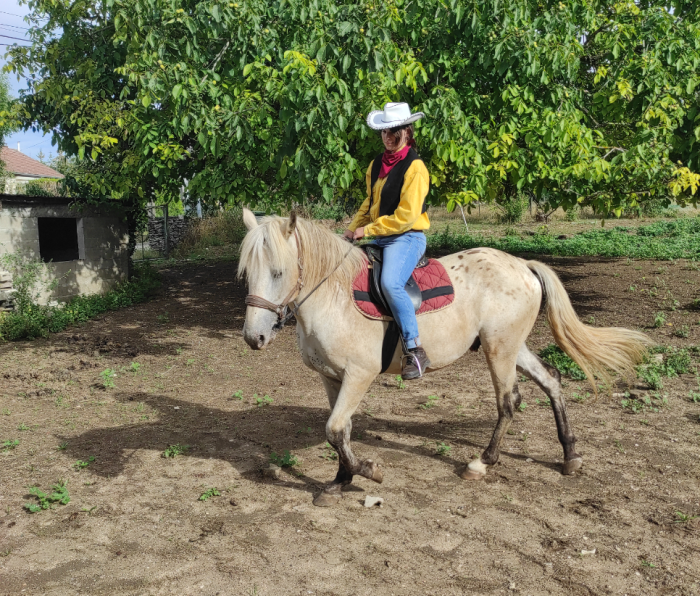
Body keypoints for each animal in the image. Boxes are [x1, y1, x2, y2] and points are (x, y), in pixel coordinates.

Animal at [238, 207, 648, 506]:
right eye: (247, 274)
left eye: (278, 272)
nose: (254, 337)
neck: (334, 295)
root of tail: (522, 265)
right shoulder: (331, 377)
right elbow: (341, 431)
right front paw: (340, 480)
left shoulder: (359, 375)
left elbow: (335, 429)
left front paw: (368, 471)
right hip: (512, 346)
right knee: (551, 381)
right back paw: (570, 456)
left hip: (500, 350)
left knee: (508, 401)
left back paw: (482, 463)